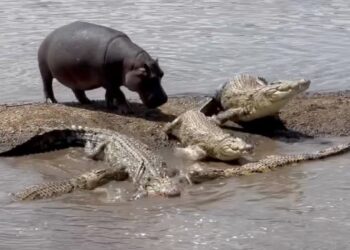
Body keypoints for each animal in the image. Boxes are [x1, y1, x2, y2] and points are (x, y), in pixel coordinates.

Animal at [39, 21, 167, 113]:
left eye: (162, 74)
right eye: (146, 75)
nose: (163, 99)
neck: (130, 64)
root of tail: (49, 35)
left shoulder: (111, 82)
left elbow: (109, 94)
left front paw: (110, 106)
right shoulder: (109, 81)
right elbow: (120, 94)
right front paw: (127, 111)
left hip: (75, 77)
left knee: (78, 90)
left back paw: (89, 102)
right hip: (45, 70)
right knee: (47, 85)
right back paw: (51, 101)